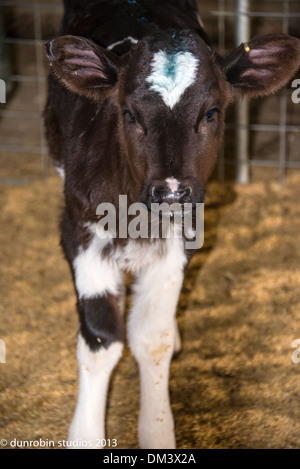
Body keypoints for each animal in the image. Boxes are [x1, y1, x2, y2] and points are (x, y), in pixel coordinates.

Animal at [44, 0, 300, 448]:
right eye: (129, 114)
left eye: (211, 112)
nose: (172, 192)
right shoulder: (81, 232)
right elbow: (101, 340)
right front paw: (86, 433)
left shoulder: (180, 241)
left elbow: (152, 339)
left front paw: (157, 430)